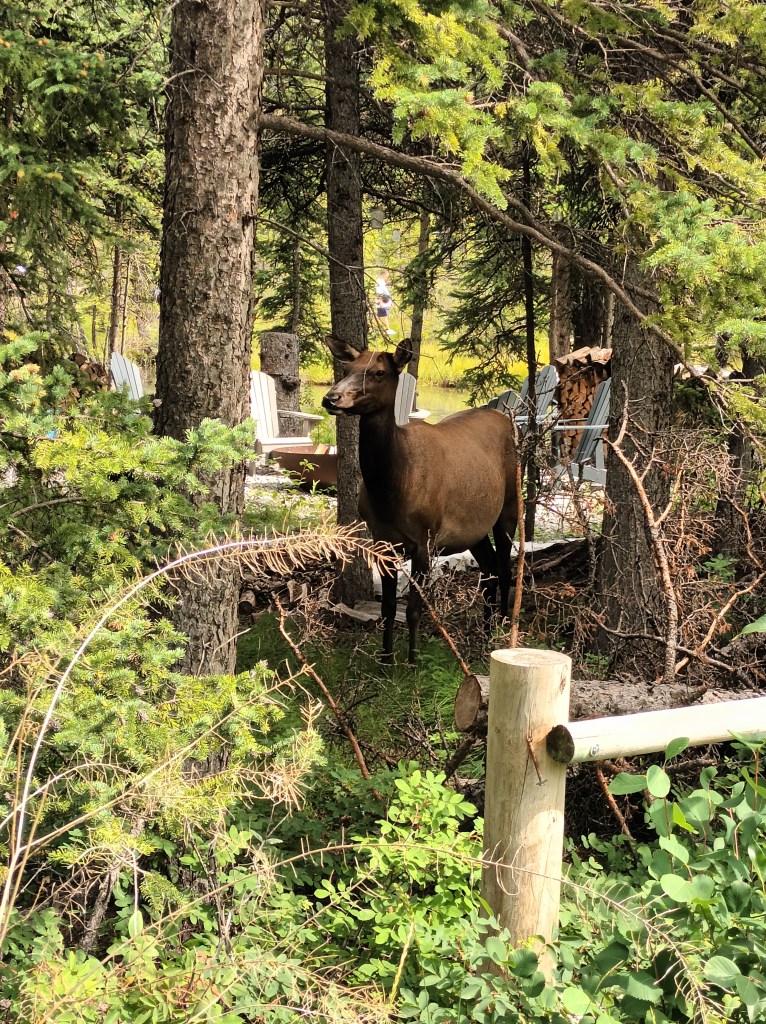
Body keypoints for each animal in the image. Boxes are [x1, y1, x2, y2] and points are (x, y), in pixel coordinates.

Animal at [322, 336, 520, 664]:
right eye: (347, 369)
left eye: (378, 372)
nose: (331, 398)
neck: (392, 490)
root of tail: (502, 416)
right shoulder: (382, 541)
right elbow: (389, 607)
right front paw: (386, 657)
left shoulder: (425, 538)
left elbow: (414, 609)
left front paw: (412, 661)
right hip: (473, 528)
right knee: (489, 568)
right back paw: (485, 630)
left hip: (510, 503)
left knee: (505, 568)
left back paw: (502, 629)